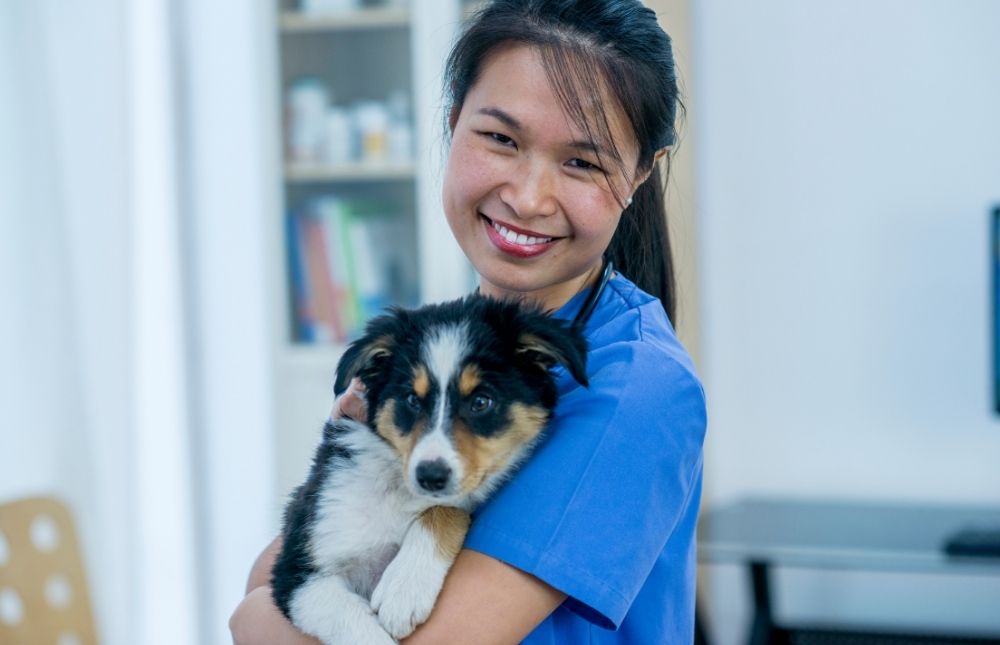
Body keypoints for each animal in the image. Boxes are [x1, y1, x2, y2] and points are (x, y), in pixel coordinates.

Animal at [270, 294, 588, 640]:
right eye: (411, 399)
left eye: (481, 401)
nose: (430, 476)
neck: (400, 490)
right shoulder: (299, 572)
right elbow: (358, 627)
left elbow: (446, 509)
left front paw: (403, 589)